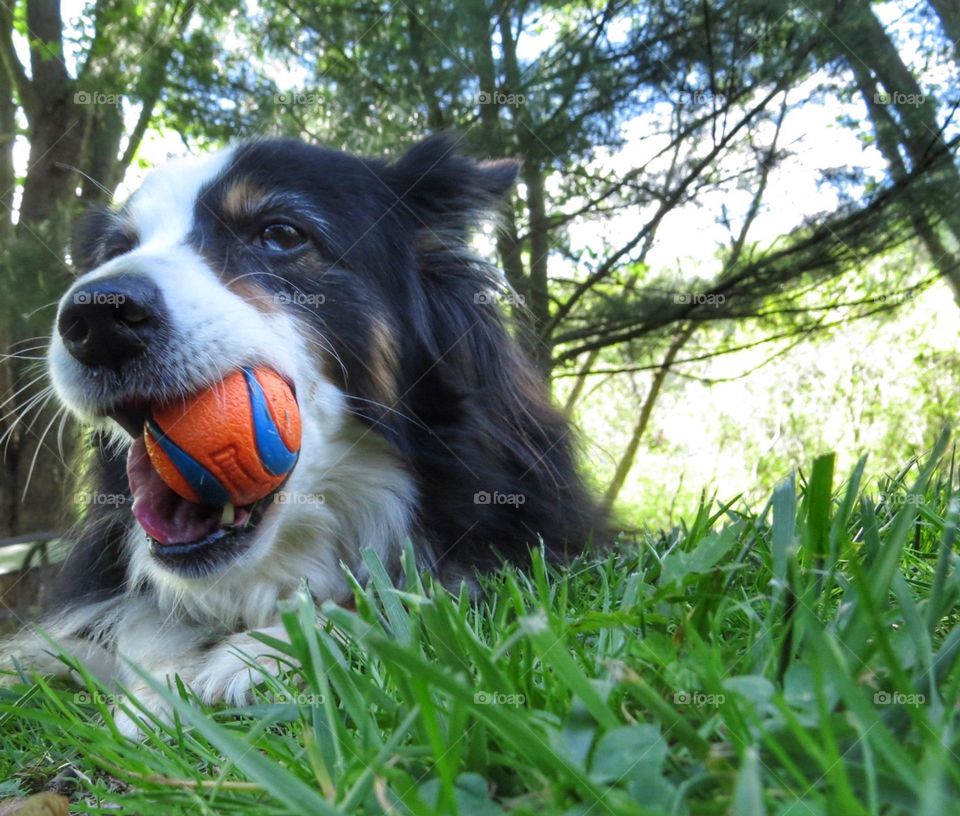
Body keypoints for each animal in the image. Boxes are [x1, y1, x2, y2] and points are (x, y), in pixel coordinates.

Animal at [7, 134, 604, 732]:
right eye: (115, 249)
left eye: (281, 234)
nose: (95, 319)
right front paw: (156, 687)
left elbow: (420, 593)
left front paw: (255, 656)